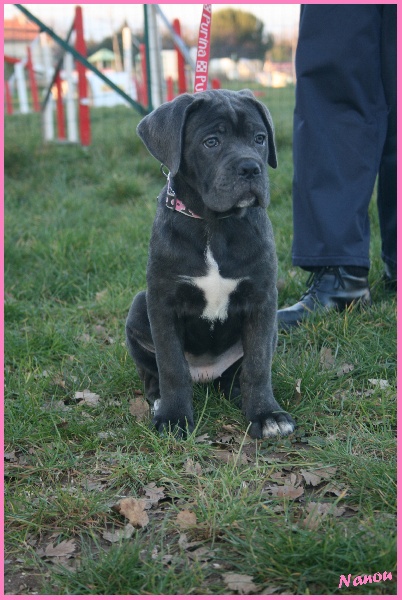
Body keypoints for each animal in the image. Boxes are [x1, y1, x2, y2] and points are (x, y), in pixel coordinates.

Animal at [125, 88, 296, 440]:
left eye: (259, 139)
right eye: (212, 142)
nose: (250, 168)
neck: (213, 224)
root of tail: (205, 375)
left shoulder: (262, 301)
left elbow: (258, 365)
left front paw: (266, 414)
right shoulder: (163, 303)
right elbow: (171, 366)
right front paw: (174, 417)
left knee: (238, 372)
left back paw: (236, 393)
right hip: (138, 306)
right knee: (152, 372)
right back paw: (159, 399)